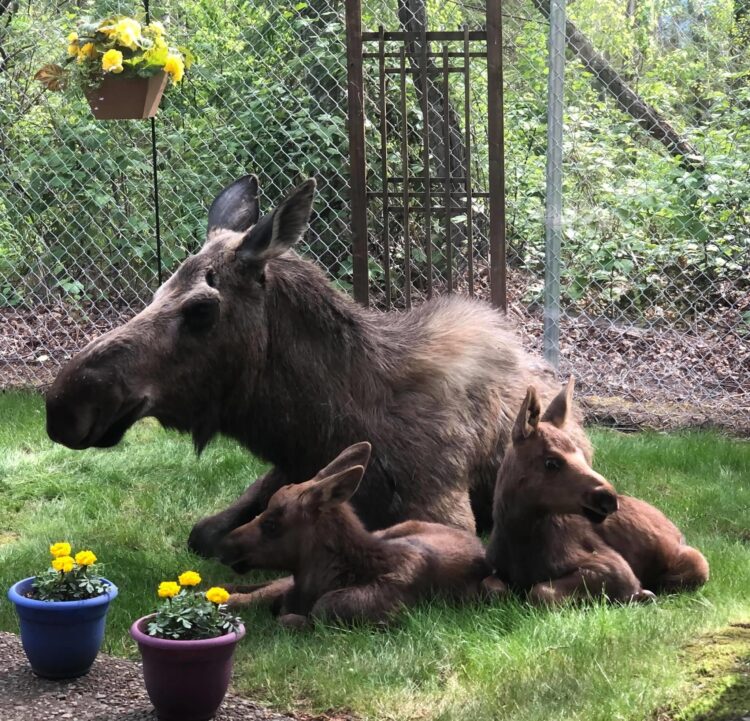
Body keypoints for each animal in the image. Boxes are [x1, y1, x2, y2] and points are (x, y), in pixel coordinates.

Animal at [45, 173, 592, 564]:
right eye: (157, 292)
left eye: (201, 309)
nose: (65, 404)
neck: (323, 423)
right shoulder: (286, 468)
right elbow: (203, 533)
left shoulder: (445, 510)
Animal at [488, 380, 712, 604]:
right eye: (551, 462)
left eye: (582, 455)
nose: (609, 498)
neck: (518, 538)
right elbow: (495, 588)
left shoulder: (615, 567)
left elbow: (540, 591)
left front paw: (641, 594)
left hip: (696, 561)